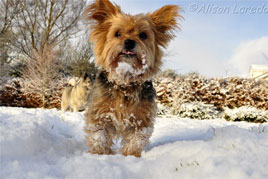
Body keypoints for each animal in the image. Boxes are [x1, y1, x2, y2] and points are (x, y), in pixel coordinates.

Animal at [82, 0, 182, 157]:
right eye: (117, 33)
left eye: (143, 35)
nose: (129, 42)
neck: (125, 82)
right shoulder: (99, 113)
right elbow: (99, 136)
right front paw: (100, 154)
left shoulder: (141, 118)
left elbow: (136, 139)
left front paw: (130, 156)